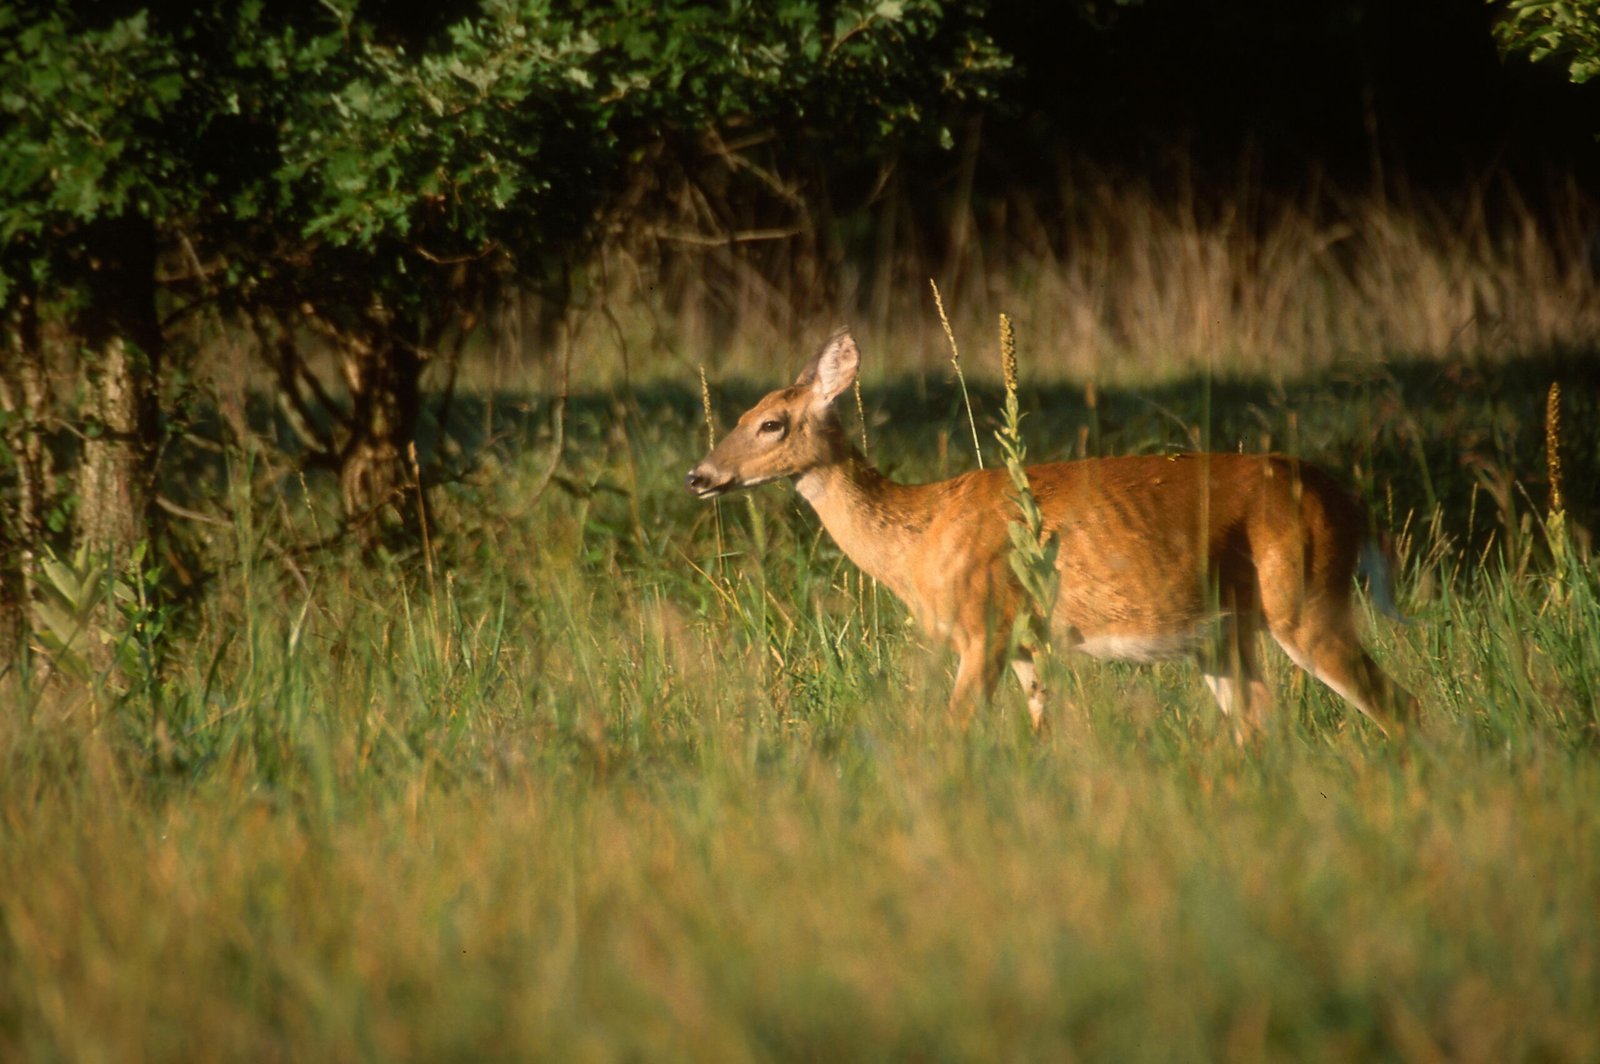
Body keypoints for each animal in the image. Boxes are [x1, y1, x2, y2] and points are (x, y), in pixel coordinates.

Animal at [686, 329, 1415, 739]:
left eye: (772, 424)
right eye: (741, 416)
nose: (699, 475)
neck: (918, 535)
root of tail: (1351, 504)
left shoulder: (983, 624)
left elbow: (954, 732)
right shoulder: (1023, 641)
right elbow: (1042, 732)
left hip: (1305, 599)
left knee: (1397, 704)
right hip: (1225, 634)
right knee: (1264, 724)